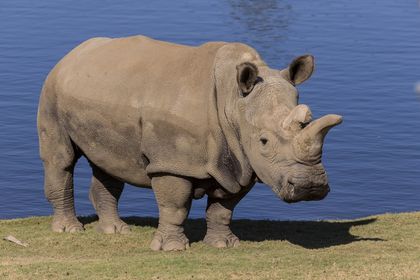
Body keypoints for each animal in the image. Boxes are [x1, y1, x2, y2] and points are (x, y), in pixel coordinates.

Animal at [37, 35, 342, 252]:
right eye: (264, 141)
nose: (311, 187)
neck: (234, 102)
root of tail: (72, 53)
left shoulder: (241, 159)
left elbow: (224, 207)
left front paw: (223, 245)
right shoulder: (173, 161)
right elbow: (175, 205)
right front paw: (172, 249)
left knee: (110, 164)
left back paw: (115, 231)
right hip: (51, 90)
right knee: (61, 159)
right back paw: (69, 229)